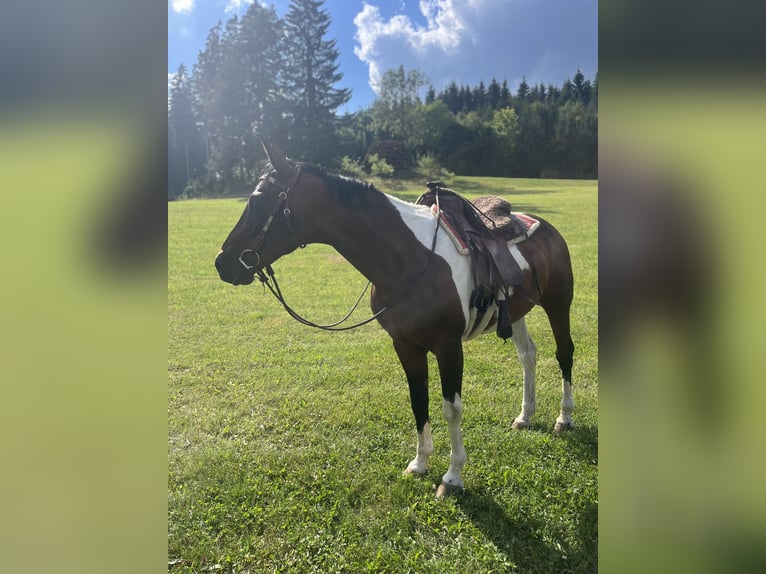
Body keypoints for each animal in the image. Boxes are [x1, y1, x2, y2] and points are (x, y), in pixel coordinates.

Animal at [215, 140, 575, 497]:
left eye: (258, 201)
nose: (222, 262)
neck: (409, 259)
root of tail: (545, 226)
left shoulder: (448, 347)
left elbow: (451, 408)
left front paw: (452, 476)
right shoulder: (404, 344)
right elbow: (418, 400)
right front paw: (420, 463)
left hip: (558, 304)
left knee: (564, 353)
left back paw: (564, 418)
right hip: (515, 313)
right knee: (528, 356)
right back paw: (525, 416)